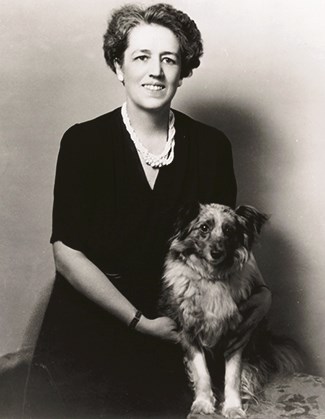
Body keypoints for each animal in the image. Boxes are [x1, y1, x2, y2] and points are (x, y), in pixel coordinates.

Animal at [160, 203, 302, 416]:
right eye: (204, 228)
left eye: (229, 231)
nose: (216, 252)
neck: (212, 279)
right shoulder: (189, 334)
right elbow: (202, 372)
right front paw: (203, 402)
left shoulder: (237, 337)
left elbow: (233, 376)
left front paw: (233, 406)